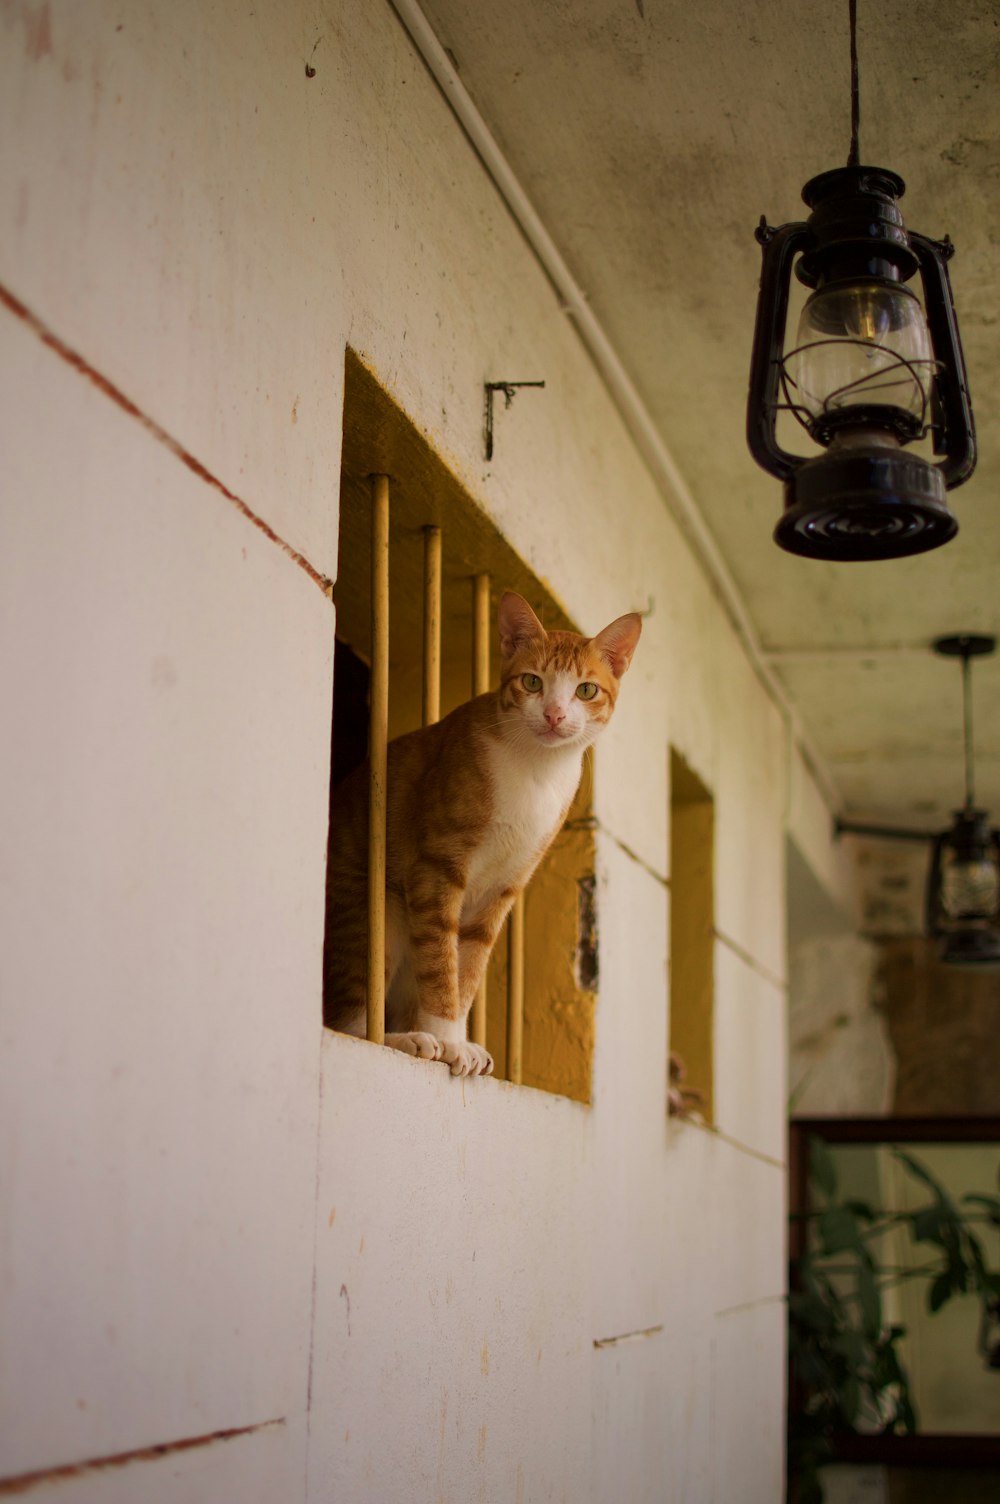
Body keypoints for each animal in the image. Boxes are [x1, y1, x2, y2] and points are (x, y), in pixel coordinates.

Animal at [323, 586, 643, 1070]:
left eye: (586, 690)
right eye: (532, 682)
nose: (553, 715)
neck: (536, 770)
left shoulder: (501, 890)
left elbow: (468, 970)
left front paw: (459, 1038)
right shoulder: (436, 869)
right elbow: (442, 965)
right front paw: (447, 1039)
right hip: (371, 912)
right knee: (352, 1022)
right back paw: (405, 1039)